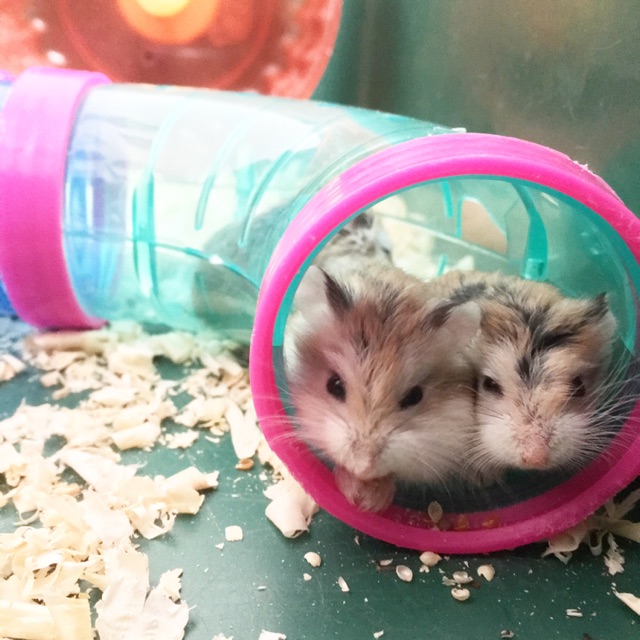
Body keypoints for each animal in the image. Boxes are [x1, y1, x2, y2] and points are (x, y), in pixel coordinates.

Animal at [284, 263, 481, 512]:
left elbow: (393, 474)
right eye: (334, 385)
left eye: (414, 396)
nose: (364, 467)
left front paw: (371, 502)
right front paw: (352, 491)